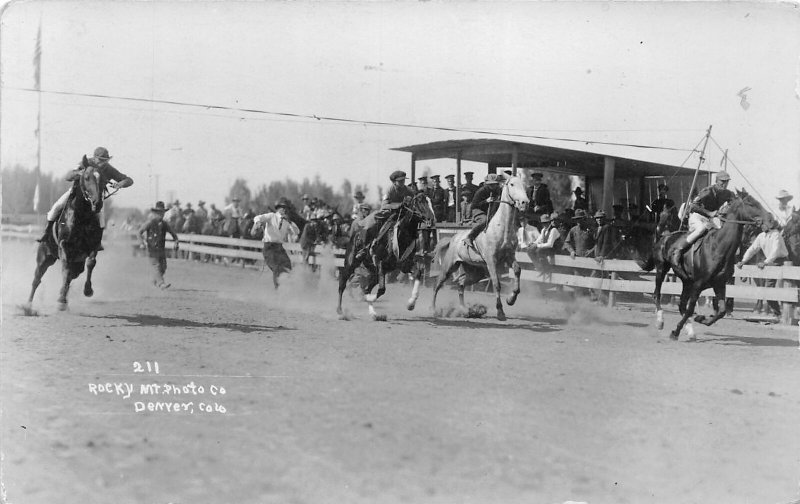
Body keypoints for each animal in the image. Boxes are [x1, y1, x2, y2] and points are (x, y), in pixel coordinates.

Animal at [27, 165, 106, 310]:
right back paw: (28, 305)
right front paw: (61, 299)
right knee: (37, 279)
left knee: (72, 275)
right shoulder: (64, 244)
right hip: (44, 258)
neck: (82, 216)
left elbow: (91, 263)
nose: (97, 203)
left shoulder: (93, 245)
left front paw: (88, 290)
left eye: (104, 178)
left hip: (78, 263)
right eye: (86, 178)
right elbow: (65, 267)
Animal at [432, 175, 532, 320]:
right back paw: (433, 310)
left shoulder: (509, 256)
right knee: (437, 284)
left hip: (476, 272)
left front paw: (511, 299)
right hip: (449, 266)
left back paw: (465, 310)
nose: (525, 203)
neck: (502, 228)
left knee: (460, 283)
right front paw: (500, 312)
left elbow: (517, 270)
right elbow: (496, 284)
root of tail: (453, 239)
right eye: (512, 184)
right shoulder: (491, 261)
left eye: (524, 185)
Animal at [636, 191, 768, 340]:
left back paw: (690, 330)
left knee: (681, 304)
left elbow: (721, 311)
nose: (769, 219)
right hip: (661, 269)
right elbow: (691, 309)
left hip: (686, 281)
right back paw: (660, 321)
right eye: (751, 204)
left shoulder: (719, 284)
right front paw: (675, 332)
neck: (718, 247)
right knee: (657, 295)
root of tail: (664, 237)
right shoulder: (698, 285)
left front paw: (701, 319)